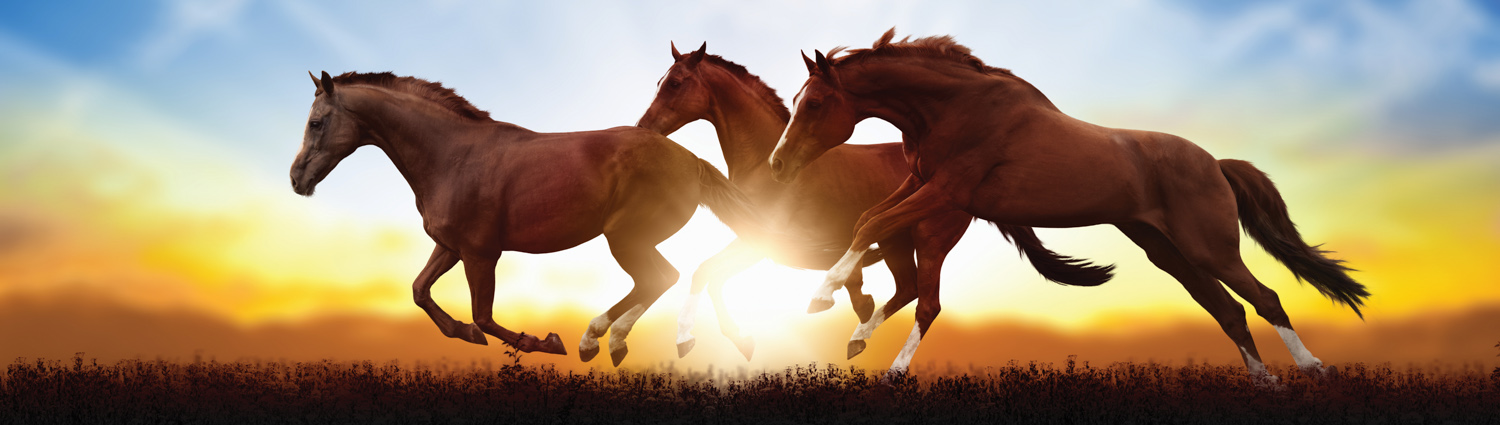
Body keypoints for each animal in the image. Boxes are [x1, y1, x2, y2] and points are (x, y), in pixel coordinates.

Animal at [290, 71, 777, 366]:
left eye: (317, 122)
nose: (297, 179)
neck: (451, 155)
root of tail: (692, 159)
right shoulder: (450, 246)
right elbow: (419, 291)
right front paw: (461, 332)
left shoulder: (481, 253)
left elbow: (484, 316)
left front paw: (543, 342)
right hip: (631, 239)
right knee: (662, 278)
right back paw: (608, 341)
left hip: (625, 238)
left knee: (659, 278)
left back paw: (595, 340)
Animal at [636, 43, 1114, 360]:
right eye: (658, 82)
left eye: (674, 82)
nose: (644, 128)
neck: (760, 167)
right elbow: (708, 274)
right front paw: (738, 340)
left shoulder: (764, 244)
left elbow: (706, 272)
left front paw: (701, 340)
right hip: (899, 243)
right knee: (905, 290)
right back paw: (857, 335)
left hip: (928, 239)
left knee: (925, 302)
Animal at [768, 29, 1369, 385]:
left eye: (814, 103)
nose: (776, 165)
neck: (958, 108)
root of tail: (1215, 163)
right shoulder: (921, 185)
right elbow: (869, 222)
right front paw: (852, 329)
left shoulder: (947, 192)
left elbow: (872, 225)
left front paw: (822, 299)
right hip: (1168, 253)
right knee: (1228, 310)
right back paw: (1264, 382)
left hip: (1209, 247)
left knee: (1264, 298)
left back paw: (1313, 369)